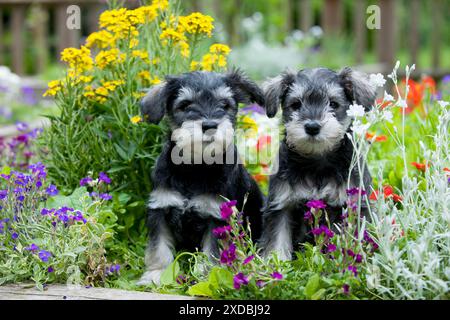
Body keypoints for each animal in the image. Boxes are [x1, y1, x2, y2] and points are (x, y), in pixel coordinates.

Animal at [137, 70, 264, 284]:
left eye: (225, 104)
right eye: (185, 105)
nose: (210, 125)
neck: (195, 168)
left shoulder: (216, 217)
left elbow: (211, 254)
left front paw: (206, 278)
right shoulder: (160, 209)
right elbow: (158, 248)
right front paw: (156, 275)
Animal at [260, 67, 376, 260]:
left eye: (334, 104)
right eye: (296, 104)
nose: (312, 127)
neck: (317, 162)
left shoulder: (353, 205)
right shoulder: (281, 205)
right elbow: (277, 240)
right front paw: (277, 263)